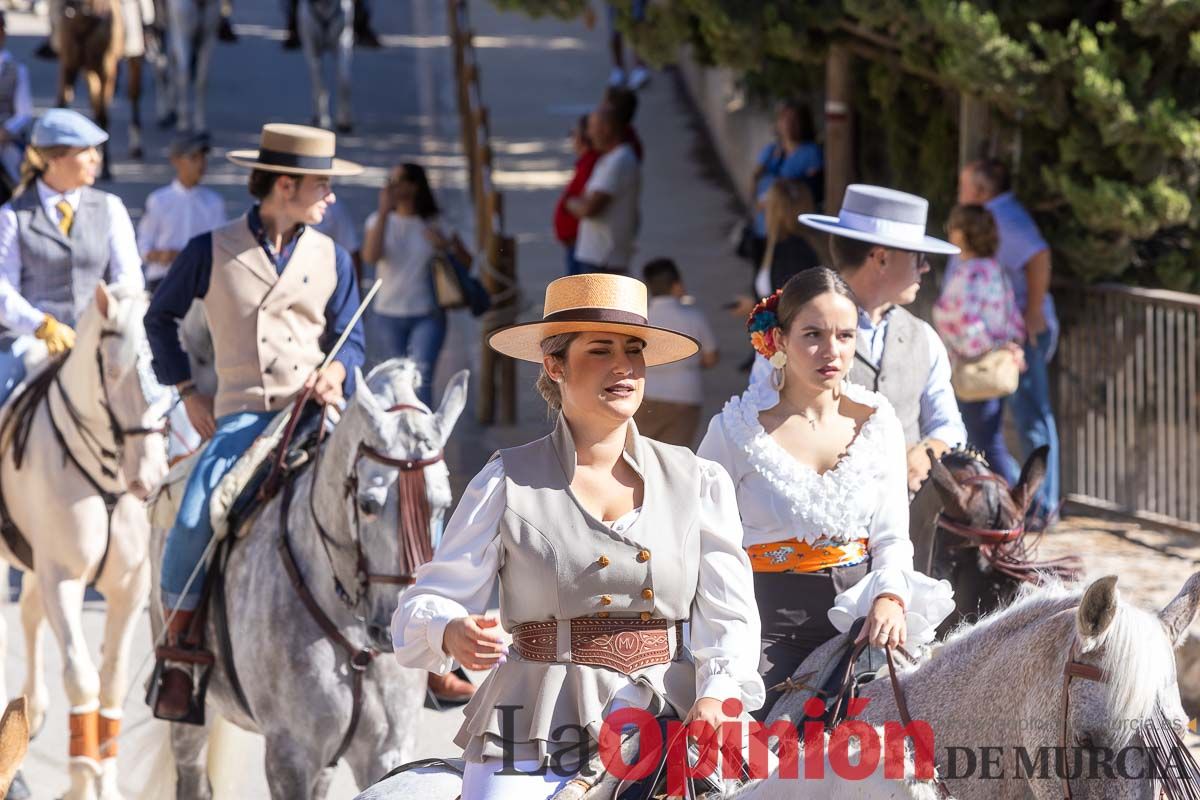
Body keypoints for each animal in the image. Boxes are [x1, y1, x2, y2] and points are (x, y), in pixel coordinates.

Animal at [0, 284, 171, 800]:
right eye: (113, 371)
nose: (148, 478)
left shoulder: (130, 587)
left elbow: (111, 683)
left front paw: (106, 782)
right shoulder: (63, 578)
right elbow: (81, 678)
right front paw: (80, 782)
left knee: (28, 614)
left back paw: (32, 706)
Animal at [151, 359, 468, 796]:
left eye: (442, 504)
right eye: (368, 505)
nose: (394, 632)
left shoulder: (387, 750)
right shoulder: (290, 756)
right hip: (191, 713)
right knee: (192, 775)